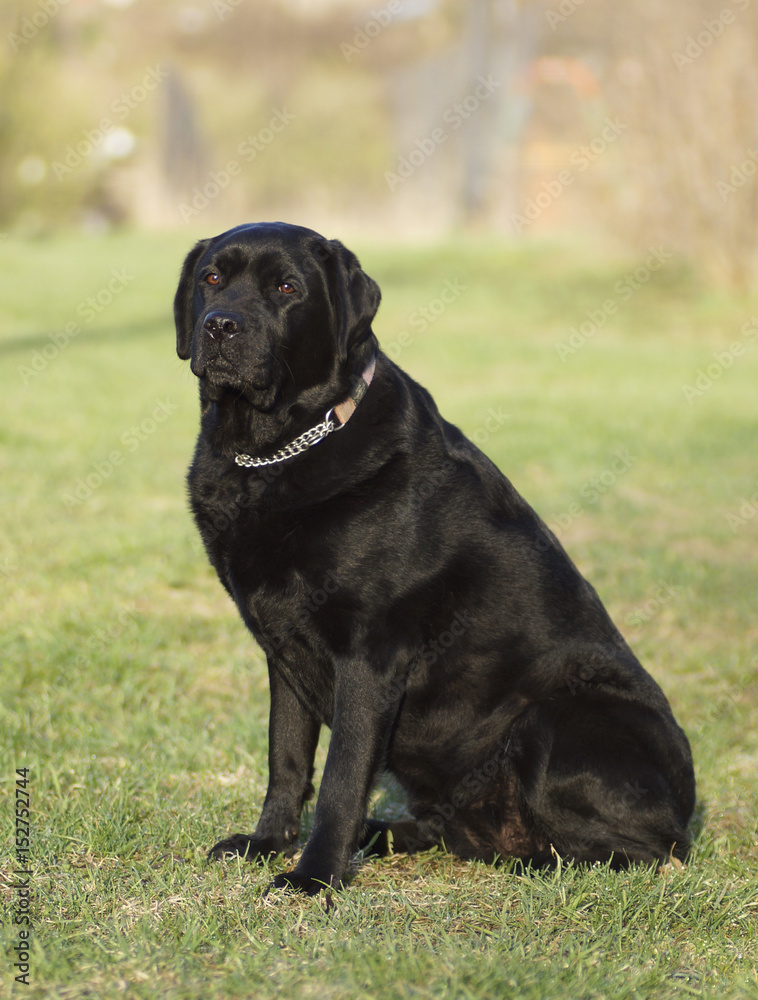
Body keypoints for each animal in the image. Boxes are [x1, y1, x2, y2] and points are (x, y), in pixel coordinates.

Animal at [175, 221, 696, 892]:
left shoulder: (370, 654)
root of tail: (687, 812)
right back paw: (387, 838)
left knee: (640, 854)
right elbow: (286, 759)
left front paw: (314, 877)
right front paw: (266, 845)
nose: (220, 325)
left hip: (555, 717)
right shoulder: (281, 649)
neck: (274, 452)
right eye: (212, 277)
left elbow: (342, 777)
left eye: (286, 288)